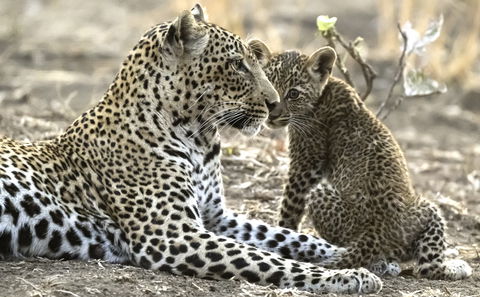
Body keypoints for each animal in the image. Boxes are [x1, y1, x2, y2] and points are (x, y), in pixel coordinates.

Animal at [0, 4, 382, 294]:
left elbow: (285, 236)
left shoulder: (215, 216)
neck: (199, 138)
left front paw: (366, 258)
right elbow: (266, 258)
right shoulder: (173, 234)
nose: (274, 104)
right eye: (238, 64)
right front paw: (348, 276)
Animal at [260, 43, 470, 278]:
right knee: (430, 268)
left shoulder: (305, 165)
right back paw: (455, 266)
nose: (271, 114)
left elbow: (289, 209)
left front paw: (283, 232)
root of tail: (377, 231)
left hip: (321, 193)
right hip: (428, 208)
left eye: (293, 94)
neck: (322, 94)